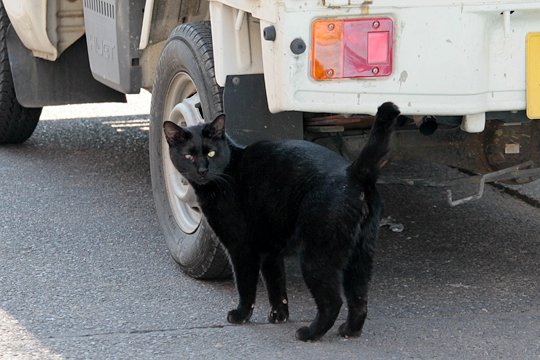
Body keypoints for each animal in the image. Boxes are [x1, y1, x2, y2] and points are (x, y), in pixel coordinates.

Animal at [162, 101, 398, 340]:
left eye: (211, 152)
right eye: (189, 156)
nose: (202, 170)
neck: (226, 173)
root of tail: (353, 172)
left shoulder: (241, 248)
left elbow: (245, 286)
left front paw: (241, 315)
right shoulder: (269, 249)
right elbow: (276, 284)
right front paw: (279, 315)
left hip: (316, 256)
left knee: (333, 302)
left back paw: (309, 333)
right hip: (360, 255)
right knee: (359, 299)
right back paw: (350, 330)